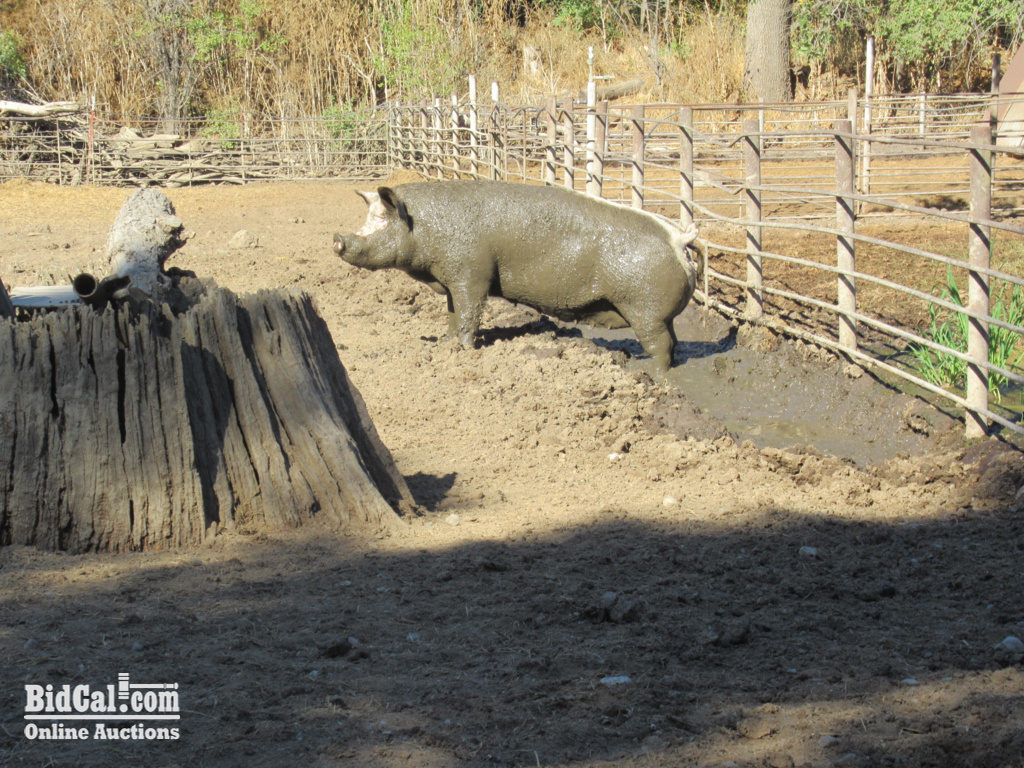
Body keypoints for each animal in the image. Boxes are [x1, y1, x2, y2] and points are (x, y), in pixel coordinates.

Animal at [333, 180, 699, 371]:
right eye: (368, 216)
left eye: (382, 220)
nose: (337, 239)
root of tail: (679, 239)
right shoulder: (452, 281)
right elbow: (452, 314)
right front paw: (446, 344)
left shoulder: (471, 274)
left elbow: (469, 314)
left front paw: (464, 351)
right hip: (657, 313)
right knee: (675, 342)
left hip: (644, 308)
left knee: (660, 345)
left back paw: (654, 375)